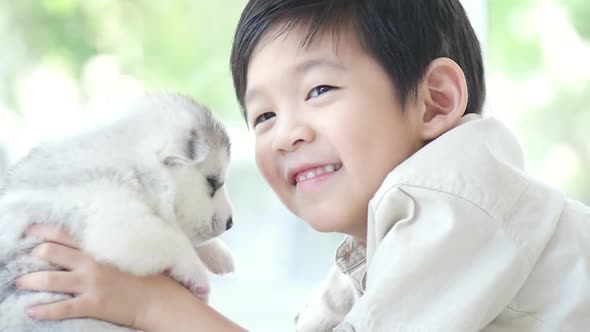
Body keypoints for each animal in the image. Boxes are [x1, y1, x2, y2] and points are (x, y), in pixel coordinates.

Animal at [0, 93, 236, 332]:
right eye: (213, 182)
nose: (230, 223)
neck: (132, 166)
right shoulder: (117, 222)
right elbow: (175, 240)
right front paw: (198, 278)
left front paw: (220, 254)